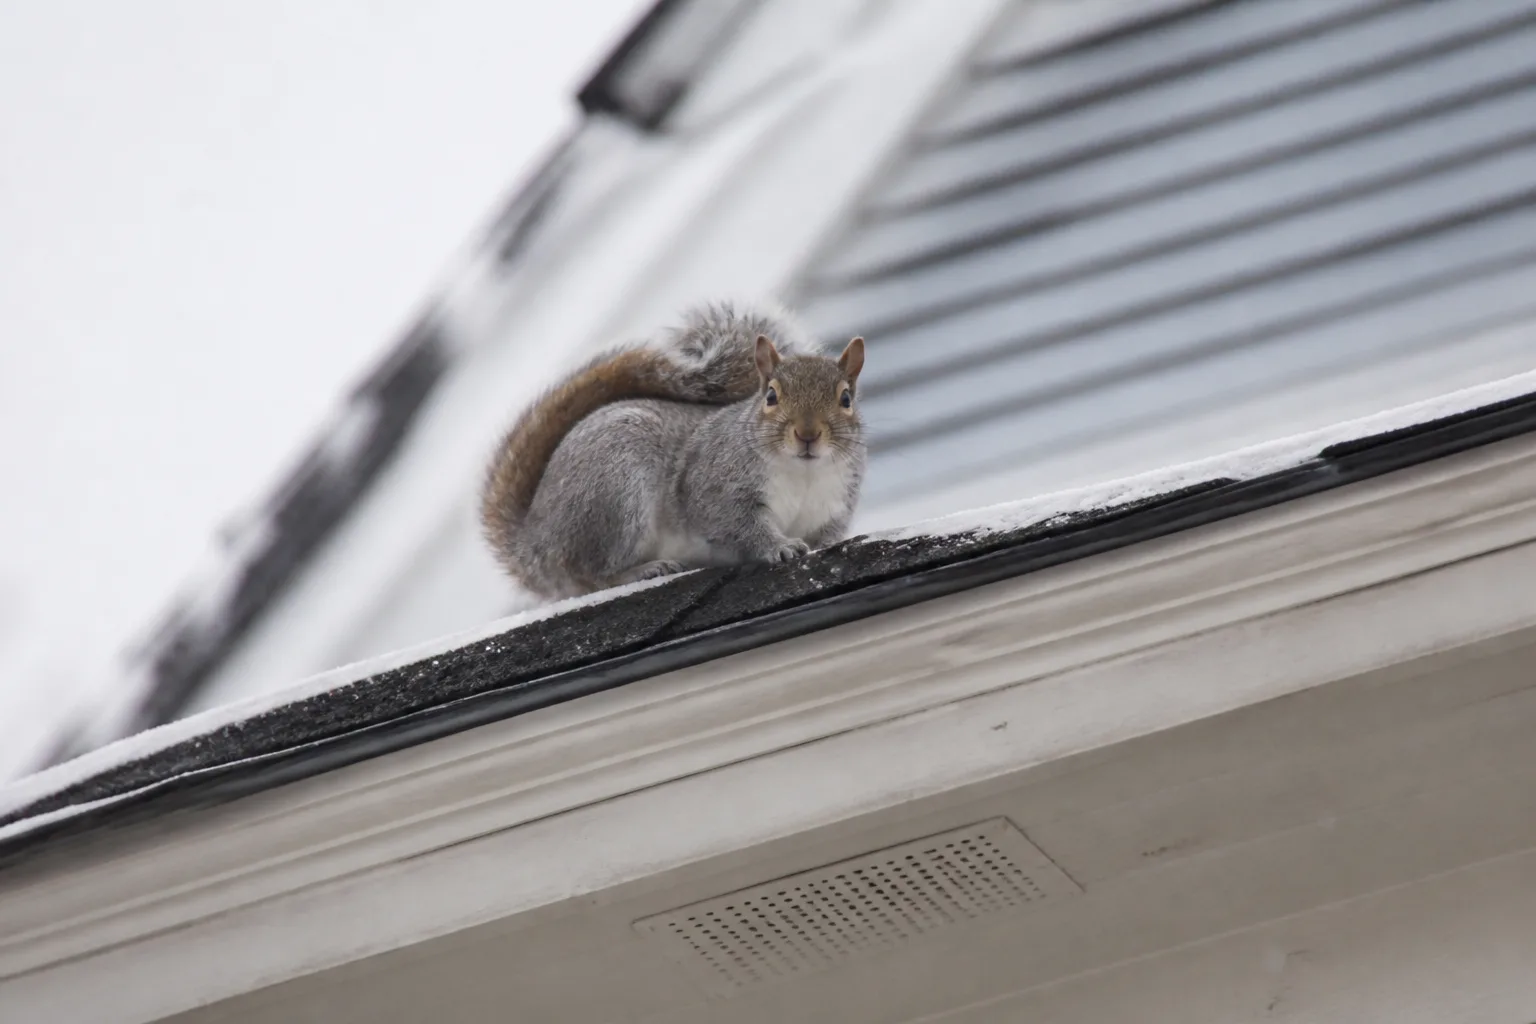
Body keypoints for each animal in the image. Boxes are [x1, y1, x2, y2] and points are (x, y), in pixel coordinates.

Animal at [480, 300, 867, 599]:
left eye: (846, 399)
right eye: (770, 396)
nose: (807, 434)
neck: (804, 474)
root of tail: (535, 539)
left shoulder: (833, 507)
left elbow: (824, 537)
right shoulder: (716, 486)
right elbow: (737, 524)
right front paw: (779, 547)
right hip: (614, 493)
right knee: (589, 573)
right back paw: (642, 570)